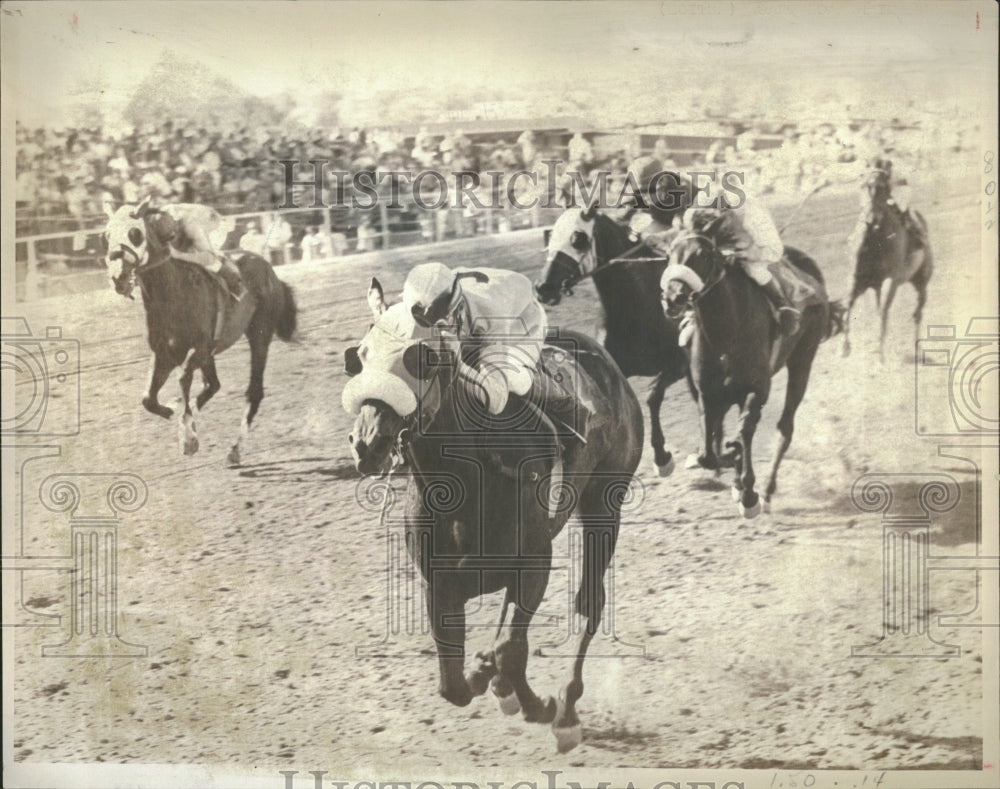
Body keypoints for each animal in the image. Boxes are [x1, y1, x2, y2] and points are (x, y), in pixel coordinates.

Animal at [105, 200, 294, 464]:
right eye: (106, 235)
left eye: (135, 233)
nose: (118, 278)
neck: (171, 293)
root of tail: (270, 270)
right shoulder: (163, 353)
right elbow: (148, 399)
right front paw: (173, 411)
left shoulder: (200, 348)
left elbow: (183, 376)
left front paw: (188, 437)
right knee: (213, 385)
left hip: (260, 336)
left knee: (253, 392)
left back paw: (235, 448)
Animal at [344, 290, 640, 752]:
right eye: (360, 355)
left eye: (420, 358)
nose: (367, 444)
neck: (466, 481)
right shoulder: (439, 583)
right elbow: (453, 684)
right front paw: (486, 676)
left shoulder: (535, 562)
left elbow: (510, 650)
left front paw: (540, 705)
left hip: (604, 507)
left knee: (589, 604)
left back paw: (566, 709)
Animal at [536, 205, 692, 474]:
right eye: (550, 237)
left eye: (578, 239)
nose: (544, 287)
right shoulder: (616, 370)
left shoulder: (678, 365)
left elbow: (652, 396)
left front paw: (662, 458)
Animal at [664, 219, 844, 520]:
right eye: (669, 253)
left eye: (703, 254)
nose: (673, 298)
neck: (726, 332)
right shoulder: (708, 393)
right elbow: (709, 449)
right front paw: (728, 466)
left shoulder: (756, 390)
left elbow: (745, 431)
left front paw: (749, 494)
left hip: (802, 362)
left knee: (785, 427)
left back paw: (768, 490)